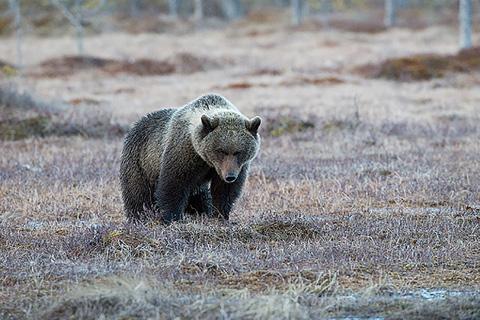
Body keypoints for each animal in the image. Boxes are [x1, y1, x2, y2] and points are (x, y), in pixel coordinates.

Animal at [120, 93, 262, 222]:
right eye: (221, 150)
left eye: (238, 151)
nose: (230, 176)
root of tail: (136, 124)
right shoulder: (184, 154)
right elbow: (173, 185)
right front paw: (172, 218)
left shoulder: (237, 167)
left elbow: (224, 192)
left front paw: (220, 215)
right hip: (139, 164)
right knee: (138, 196)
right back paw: (138, 218)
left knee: (201, 197)